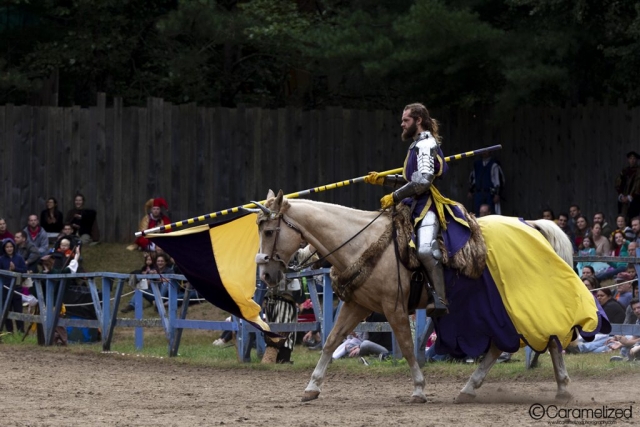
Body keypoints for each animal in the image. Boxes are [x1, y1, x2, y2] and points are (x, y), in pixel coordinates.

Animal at [252, 191, 604, 404]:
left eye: (269, 231)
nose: (266, 275)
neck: (362, 242)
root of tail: (529, 224)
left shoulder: (393, 308)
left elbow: (408, 347)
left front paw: (419, 389)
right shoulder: (357, 304)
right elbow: (330, 341)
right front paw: (311, 387)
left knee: (550, 336)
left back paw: (562, 388)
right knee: (498, 346)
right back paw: (470, 389)